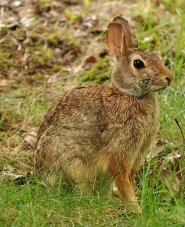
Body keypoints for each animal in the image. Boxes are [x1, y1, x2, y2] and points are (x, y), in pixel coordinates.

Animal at [34, 16, 172, 213]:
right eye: (138, 64)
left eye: (156, 56)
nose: (169, 77)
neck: (129, 94)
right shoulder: (119, 151)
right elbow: (123, 181)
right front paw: (136, 209)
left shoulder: (136, 155)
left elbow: (130, 179)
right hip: (73, 163)